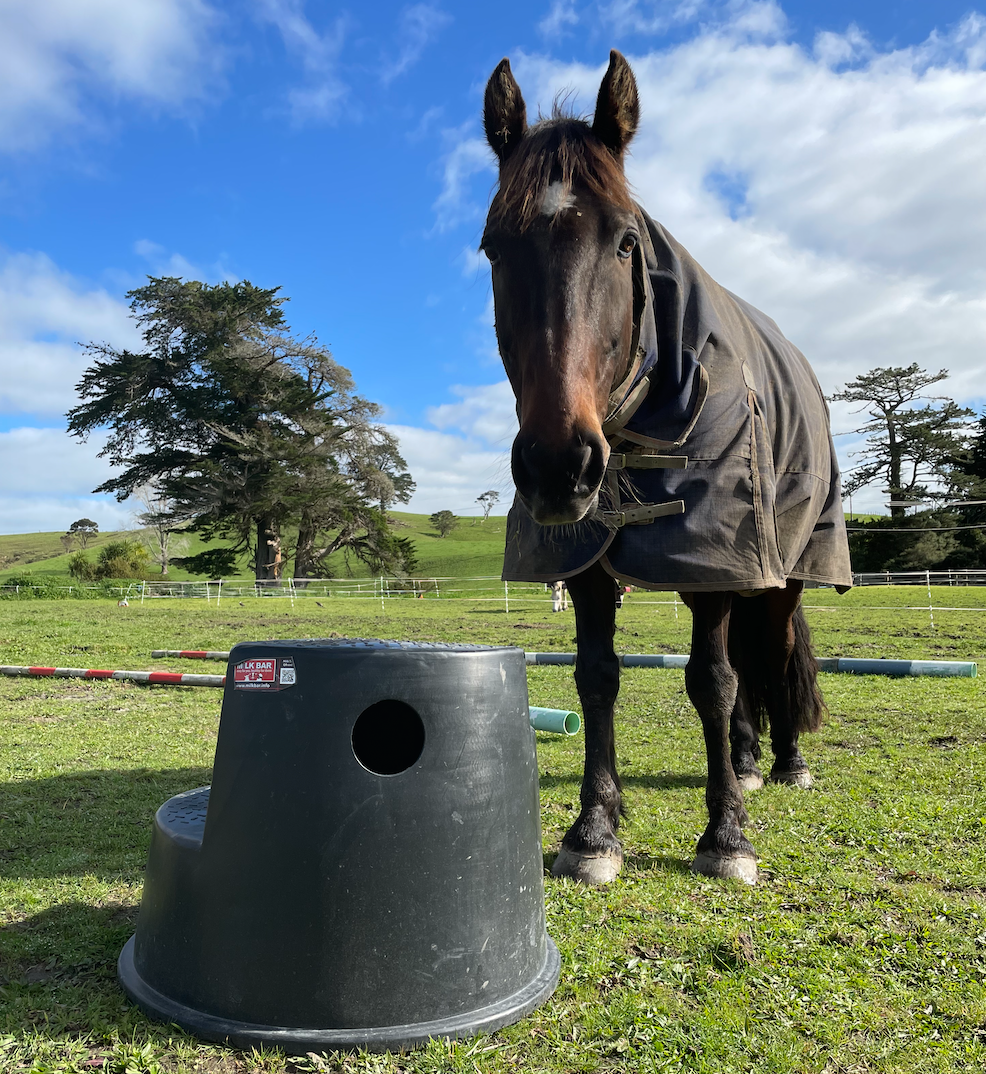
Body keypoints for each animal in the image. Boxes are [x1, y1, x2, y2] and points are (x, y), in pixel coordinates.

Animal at [483, 50, 854, 884]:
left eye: (626, 243)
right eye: (493, 247)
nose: (559, 465)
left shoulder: (711, 552)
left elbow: (710, 682)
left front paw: (726, 836)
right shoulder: (587, 561)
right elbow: (596, 678)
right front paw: (594, 831)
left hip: (779, 567)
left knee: (768, 653)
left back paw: (783, 764)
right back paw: (745, 761)